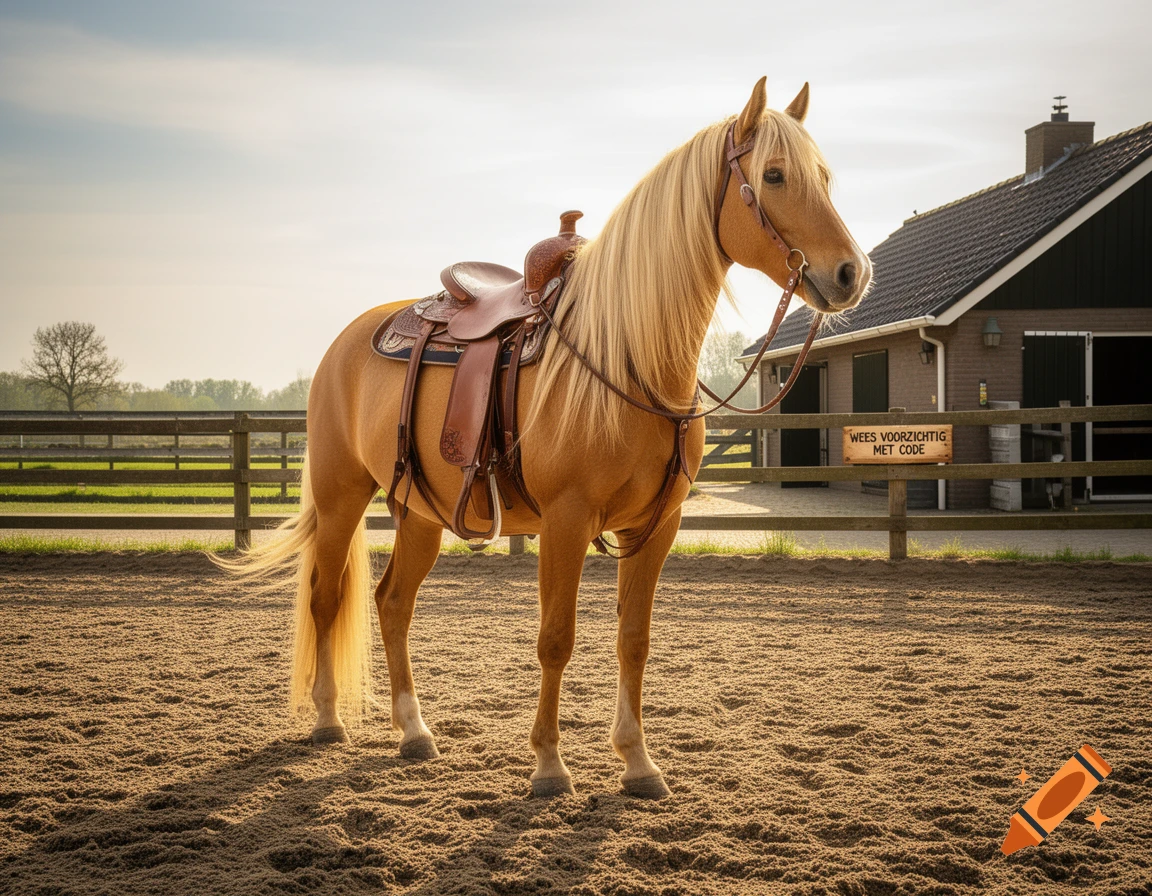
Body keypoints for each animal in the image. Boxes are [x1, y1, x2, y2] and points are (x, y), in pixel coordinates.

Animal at [224, 77, 871, 799]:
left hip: (418, 512)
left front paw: (639, 763)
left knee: (392, 604)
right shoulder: (565, 520)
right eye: (775, 174)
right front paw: (549, 765)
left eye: (824, 176)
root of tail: (345, 341)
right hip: (342, 498)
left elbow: (634, 639)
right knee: (326, 597)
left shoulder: (658, 525)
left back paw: (415, 732)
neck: (629, 357)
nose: (852, 273)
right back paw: (328, 720)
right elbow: (556, 638)